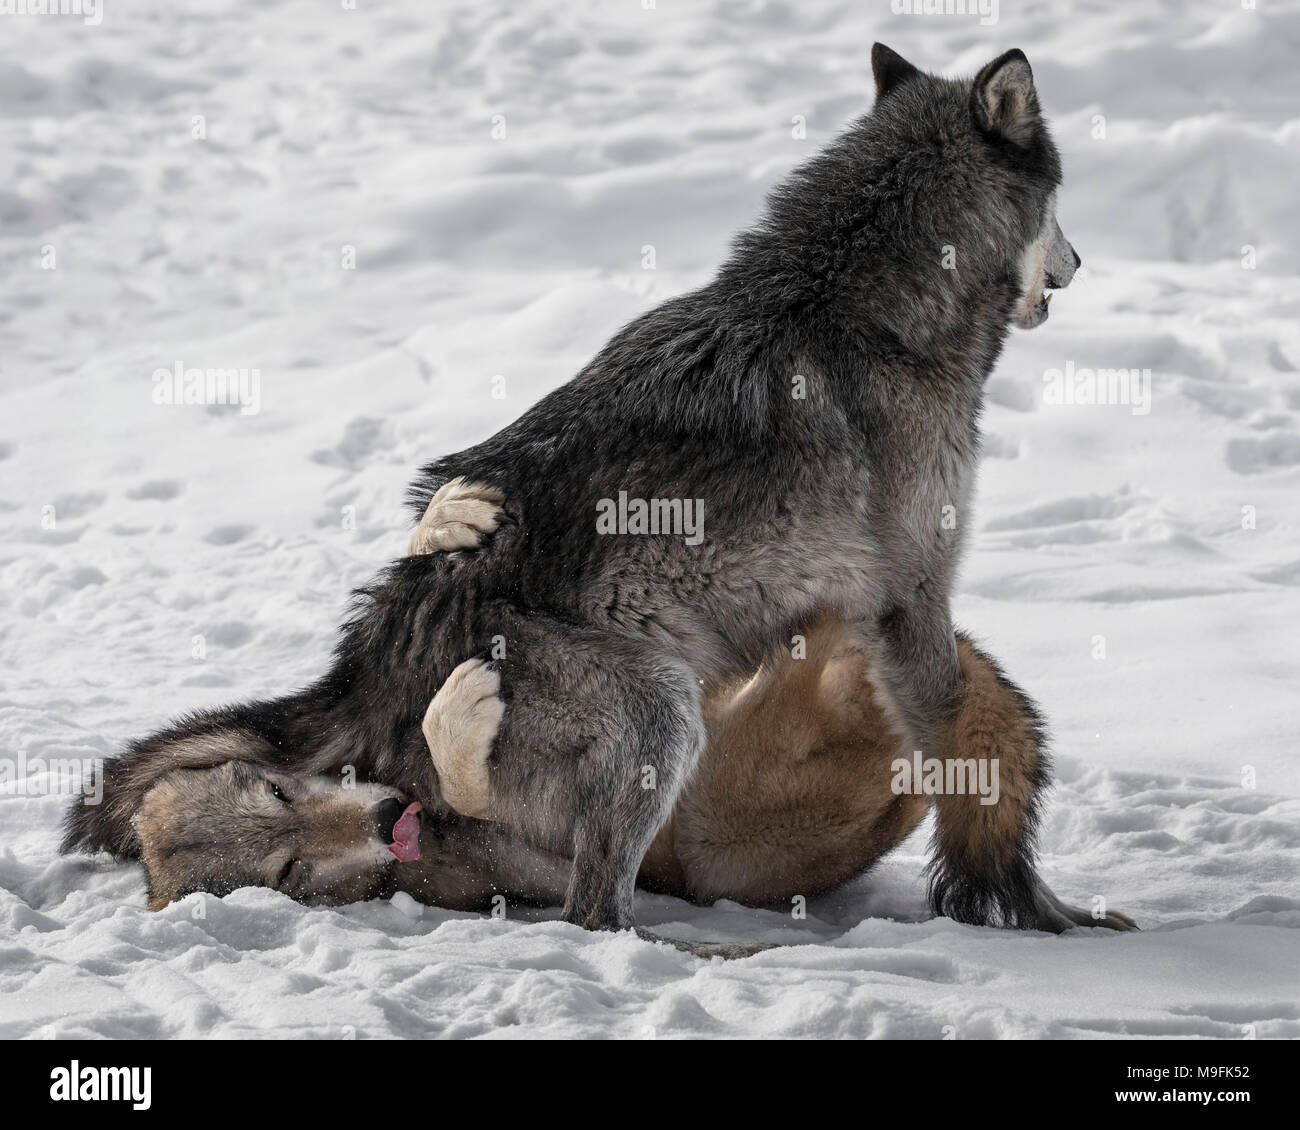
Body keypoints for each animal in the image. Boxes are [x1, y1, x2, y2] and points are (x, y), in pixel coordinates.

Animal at [65, 46, 1112, 936]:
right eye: (1064, 205)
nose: (1079, 262)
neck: (857, 306)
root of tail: (366, 659)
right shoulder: (913, 603)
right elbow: (969, 759)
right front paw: (1029, 909)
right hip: (662, 705)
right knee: (587, 907)